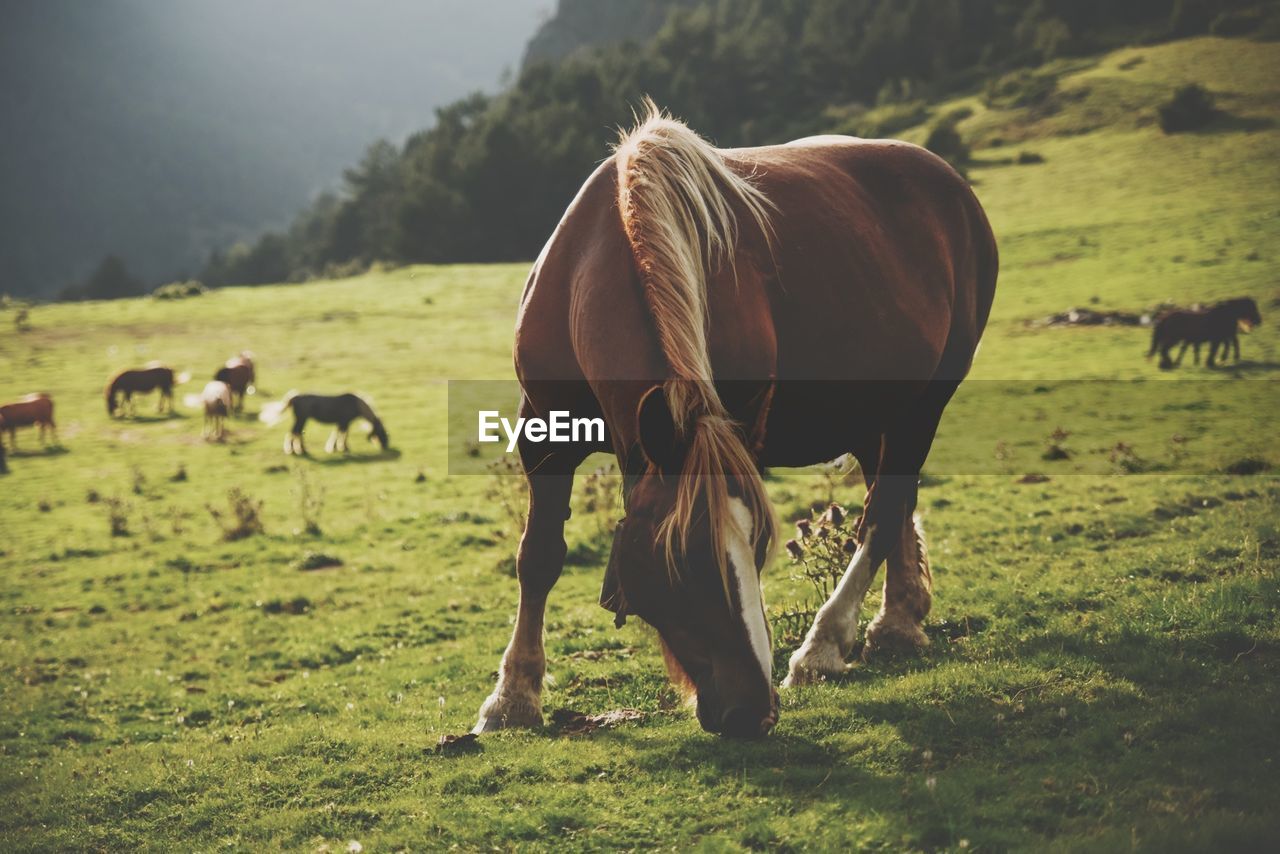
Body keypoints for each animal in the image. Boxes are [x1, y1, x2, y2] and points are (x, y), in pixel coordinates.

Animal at [473, 101, 998, 742]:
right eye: (678, 561)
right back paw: (901, 616)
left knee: (882, 512)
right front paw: (513, 698)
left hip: (926, 405)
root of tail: (953, 187)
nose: (754, 711)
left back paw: (826, 646)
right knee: (894, 495)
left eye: (756, 546)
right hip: (880, 412)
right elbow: (540, 556)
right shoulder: (545, 434)